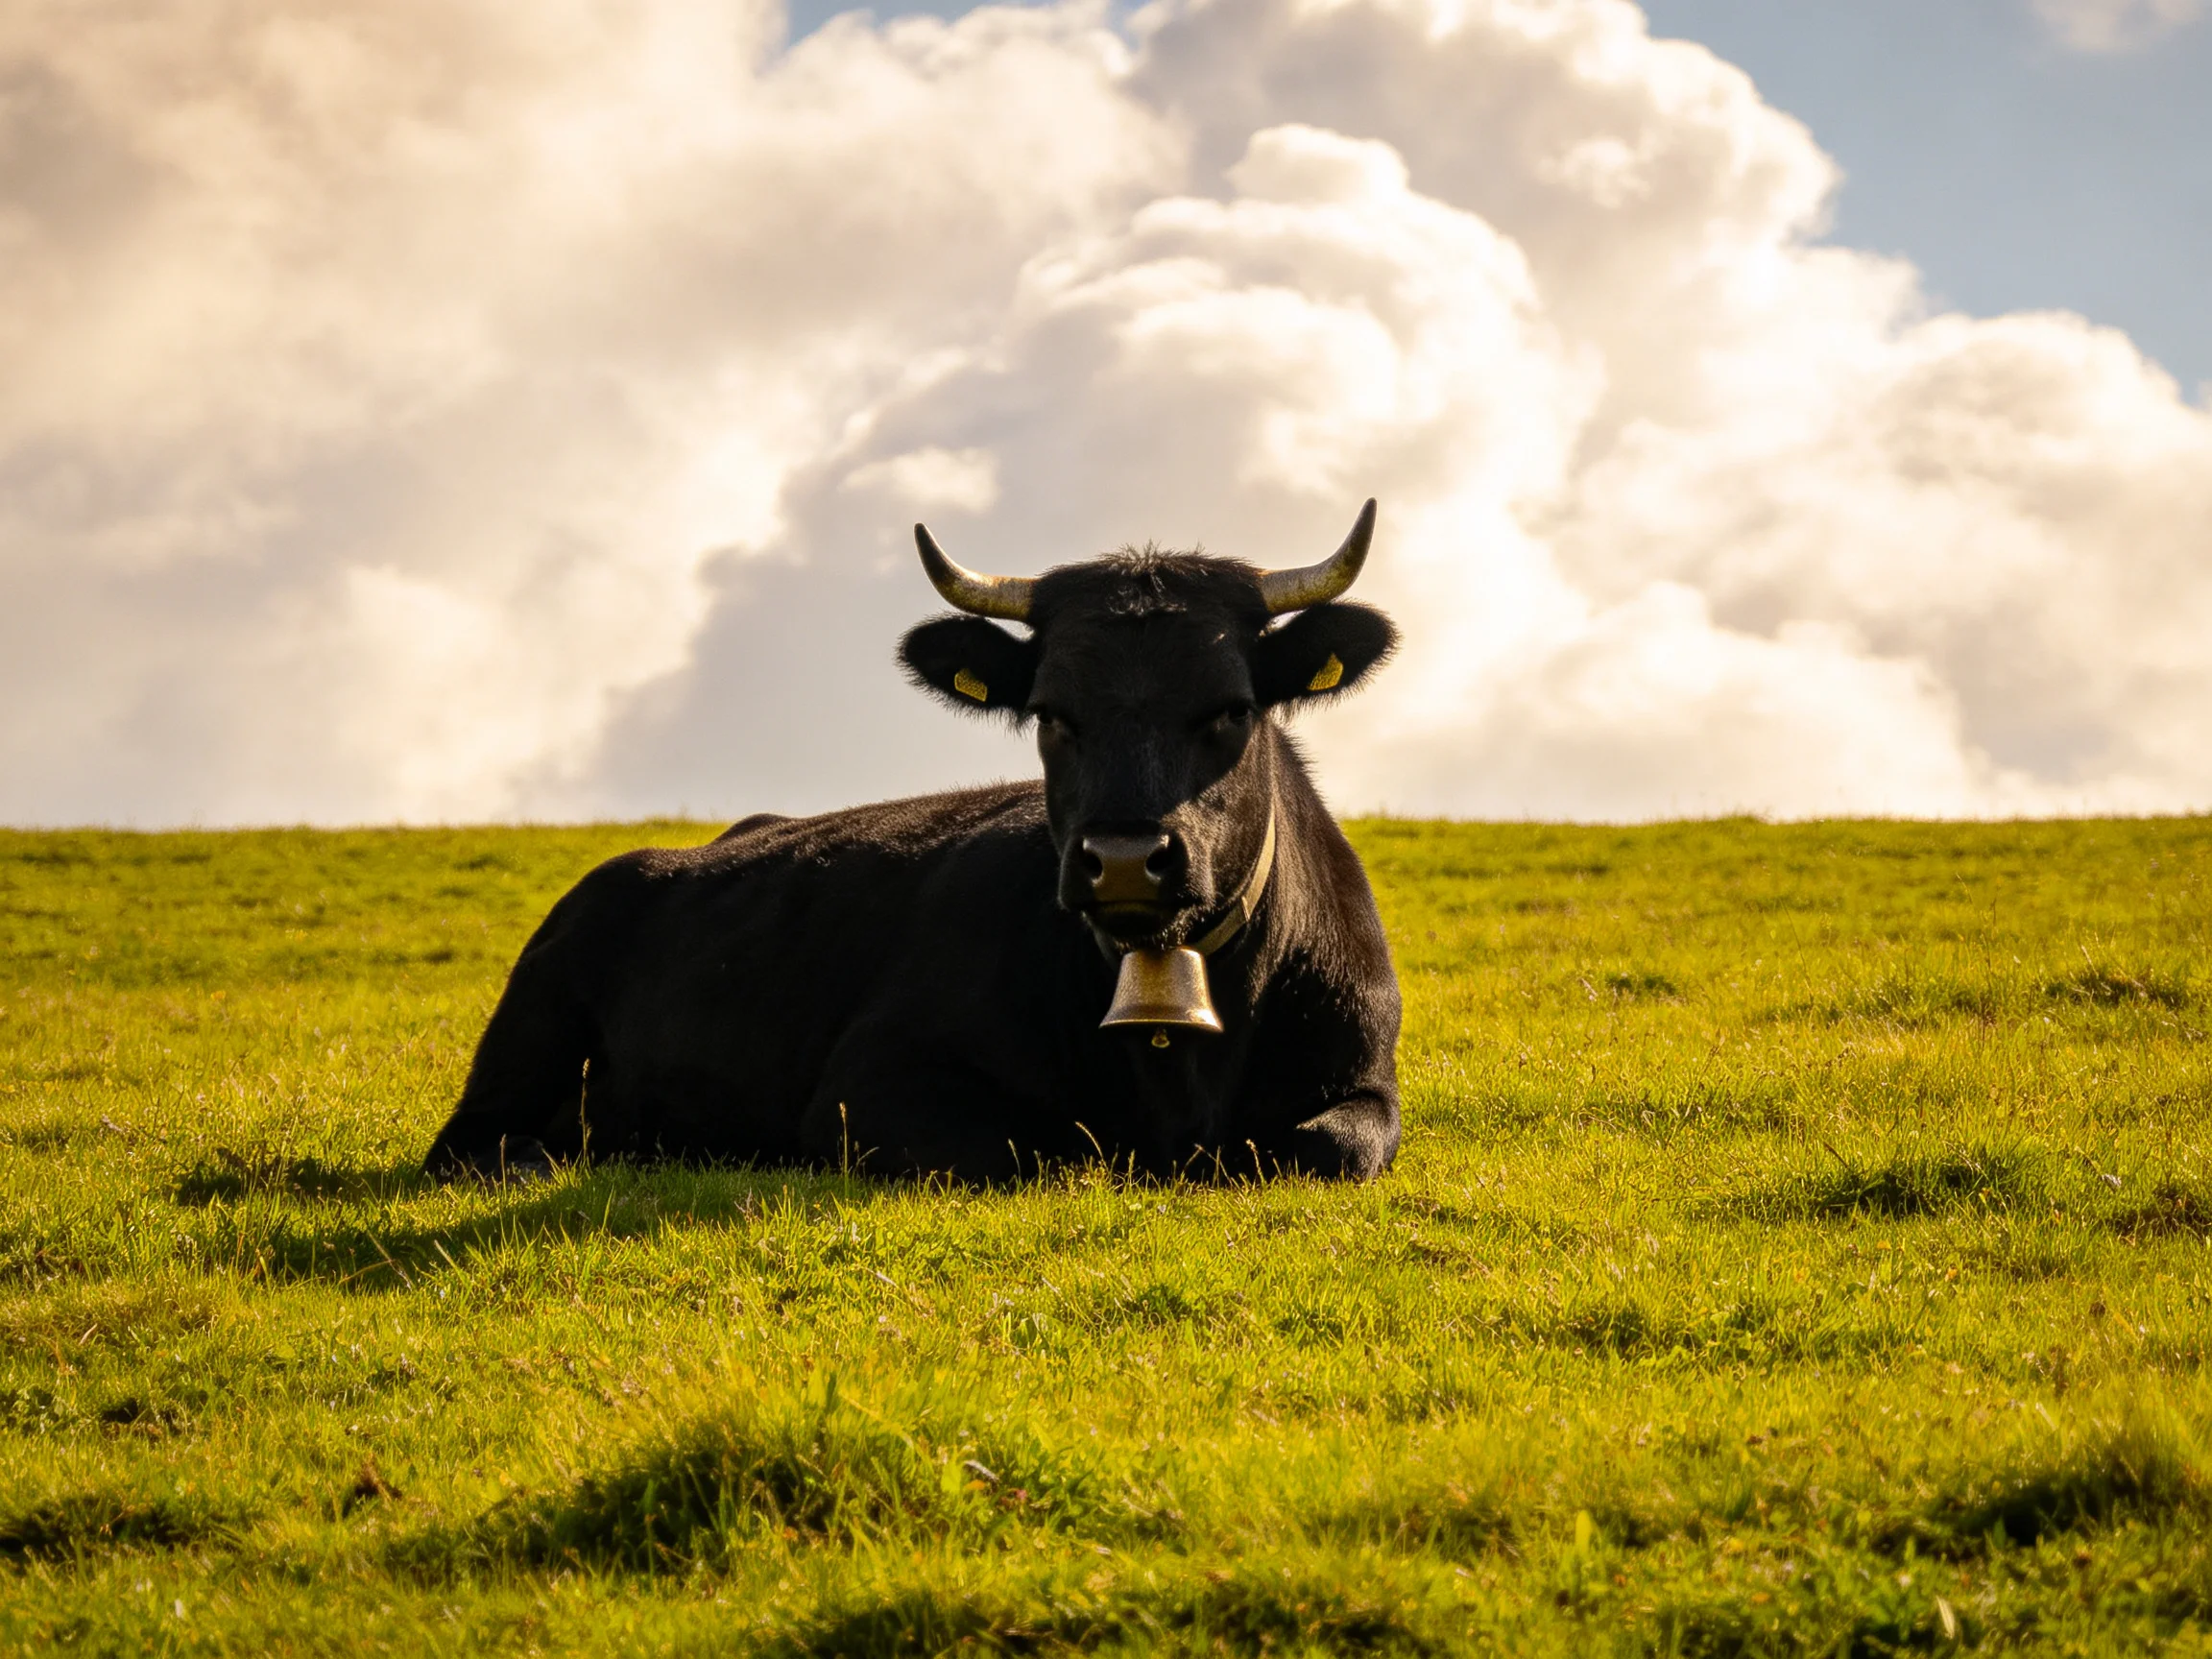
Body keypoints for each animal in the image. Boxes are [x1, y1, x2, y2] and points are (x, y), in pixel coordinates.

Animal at [424, 502, 1403, 1184]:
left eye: (1232, 709)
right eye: (1050, 714)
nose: (1124, 860)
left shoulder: (1366, 1078)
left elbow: (1325, 1147)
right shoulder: (874, 1084)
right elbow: (1036, 1147)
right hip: (529, 1026)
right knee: (471, 1141)